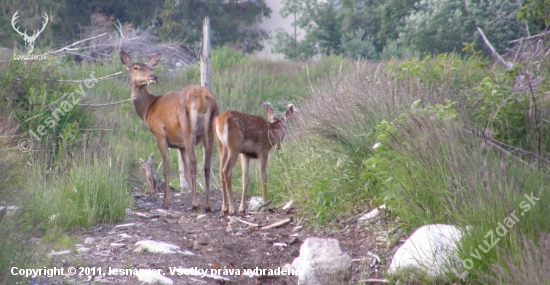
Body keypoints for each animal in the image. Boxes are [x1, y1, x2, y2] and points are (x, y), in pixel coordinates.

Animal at [120, 51, 218, 210]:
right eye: (135, 67)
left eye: (150, 68)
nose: (153, 76)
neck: (148, 110)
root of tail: (202, 97)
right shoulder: (180, 145)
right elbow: (184, 172)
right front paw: (194, 197)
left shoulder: (160, 135)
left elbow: (166, 170)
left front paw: (167, 202)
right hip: (211, 130)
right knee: (207, 165)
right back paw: (207, 205)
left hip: (188, 128)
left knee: (194, 163)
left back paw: (195, 204)